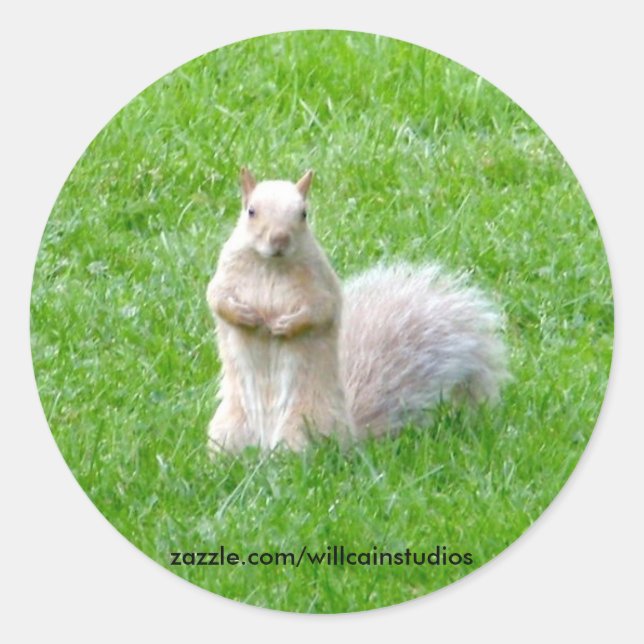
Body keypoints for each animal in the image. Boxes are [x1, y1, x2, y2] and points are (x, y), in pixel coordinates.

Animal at [206, 168, 508, 454]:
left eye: (303, 213)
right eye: (251, 211)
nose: (279, 239)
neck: (271, 265)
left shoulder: (320, 285)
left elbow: (319, 311)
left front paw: (286, 325)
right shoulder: (225, 273)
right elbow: (217, 299)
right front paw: (245, 315)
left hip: (303, 425)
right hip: (228, 428)